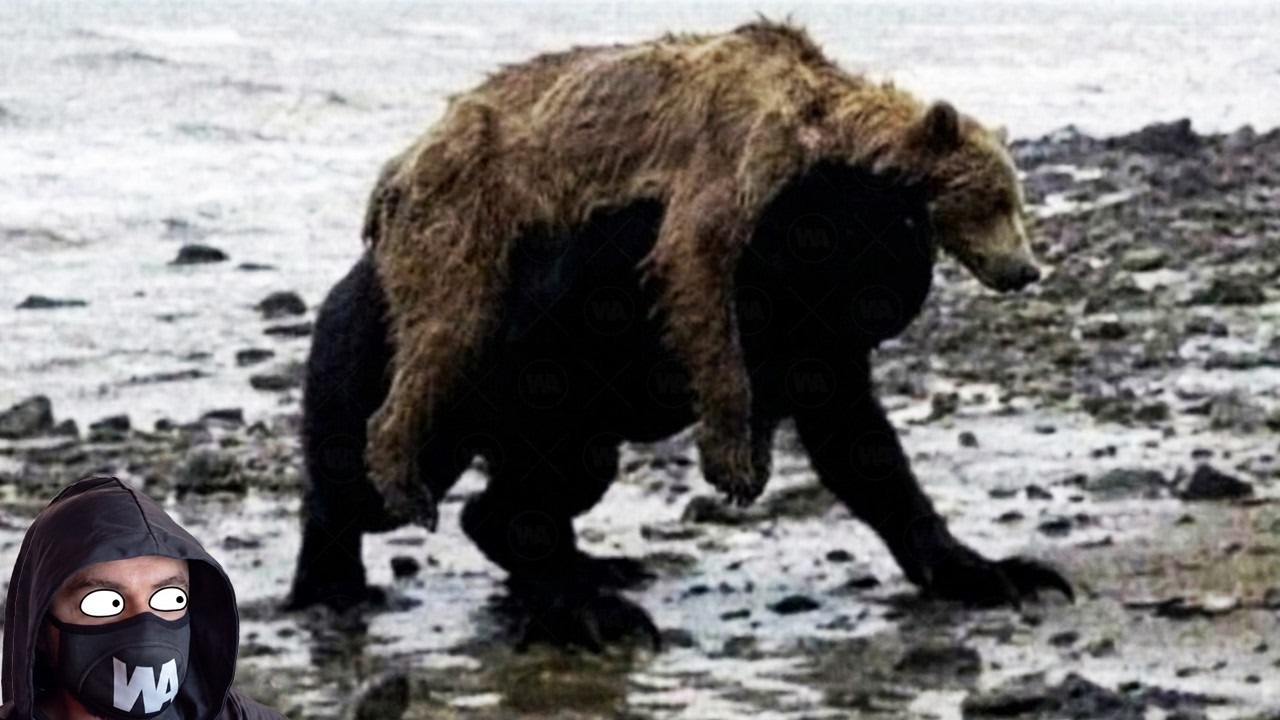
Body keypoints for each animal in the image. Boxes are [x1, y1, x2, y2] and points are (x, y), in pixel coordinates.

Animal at [286, 154, 1071, 648]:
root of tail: (356, 276)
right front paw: (575, 610)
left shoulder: (836, 387)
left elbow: (889, 486)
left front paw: (967, 571)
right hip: (408, 452)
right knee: (359, 505)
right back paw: (335, 589)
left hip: (588, 457)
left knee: (504, 512)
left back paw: (580, 578)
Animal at [359, 20, 1043, 531]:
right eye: (994, 199)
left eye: (1015, 199)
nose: (1026, 269)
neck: (821, 127)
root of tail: (401, 161)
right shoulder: (736, 148)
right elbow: (696, 262)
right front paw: (730, 460)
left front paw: (755, 459)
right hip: (461, 213)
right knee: (446, 326)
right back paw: (404, 484)